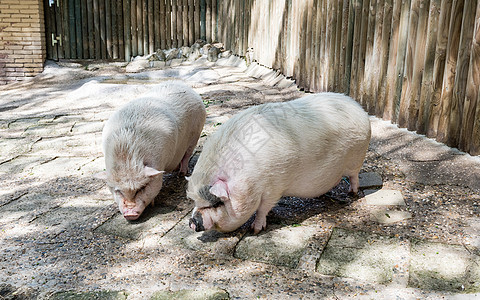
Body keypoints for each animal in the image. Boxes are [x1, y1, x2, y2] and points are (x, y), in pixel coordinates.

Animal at [96, 81, 205, 220]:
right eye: (118, 191)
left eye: (142, 188)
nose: (130, 214)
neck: (127, 157)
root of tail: (183, 85)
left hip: (195, 134)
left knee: (187, 155)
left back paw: (181, 173)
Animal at [186, 92, 370, 233]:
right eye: (195, 202)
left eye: (217, 203)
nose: (192, 222)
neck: (249, 180)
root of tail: (359, 108)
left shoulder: (274, 187)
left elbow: (262, 209)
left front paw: (255, 230)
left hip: (357, 157)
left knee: (354, 177)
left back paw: (352, 193)